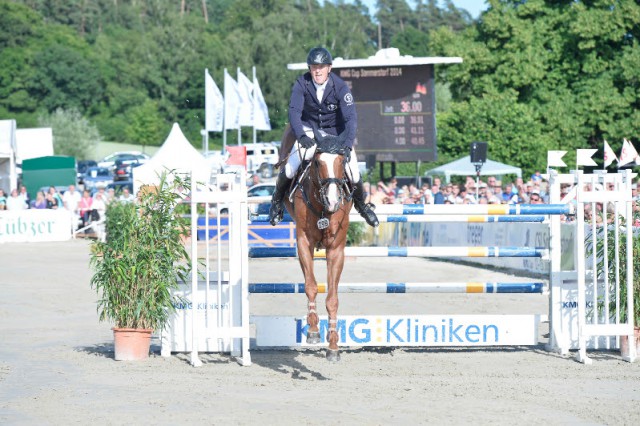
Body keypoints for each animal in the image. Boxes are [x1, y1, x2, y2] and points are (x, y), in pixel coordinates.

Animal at [278, 125, 352, 360]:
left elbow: (332, 297)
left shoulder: (336, 249)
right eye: (318, 163)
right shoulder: (303, 242)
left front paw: (333, 345)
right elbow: (310, 285)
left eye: (342, 161)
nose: (333, 201)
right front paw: (312, 329)